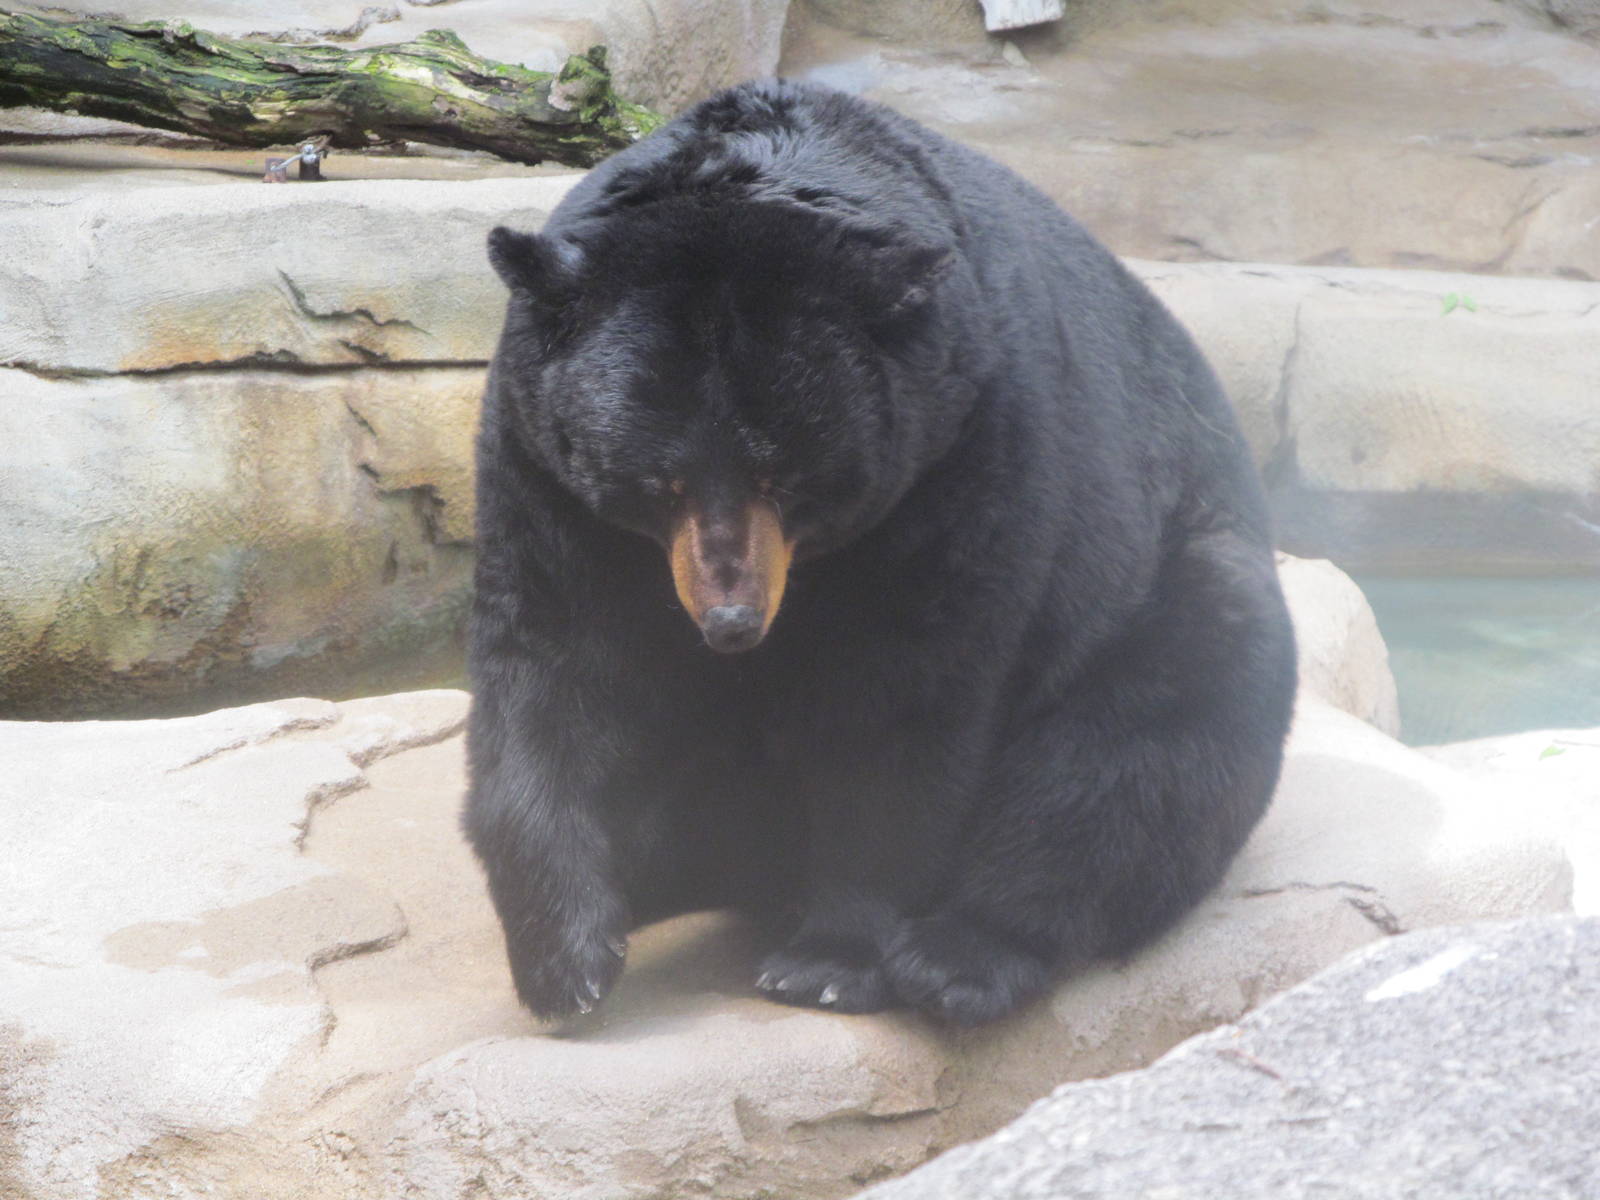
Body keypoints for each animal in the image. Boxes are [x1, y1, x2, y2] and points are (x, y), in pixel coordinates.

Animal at [464, 79, 1298, 1027]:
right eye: (661, 480)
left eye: (785, 474)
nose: (731, 622)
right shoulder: (542, 473)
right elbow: (552, 662)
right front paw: (563, 958)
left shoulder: (964, 450)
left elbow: (902, 703)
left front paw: (830, 958)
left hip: (1172, 575)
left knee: (1139, 753)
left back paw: (957, 957)